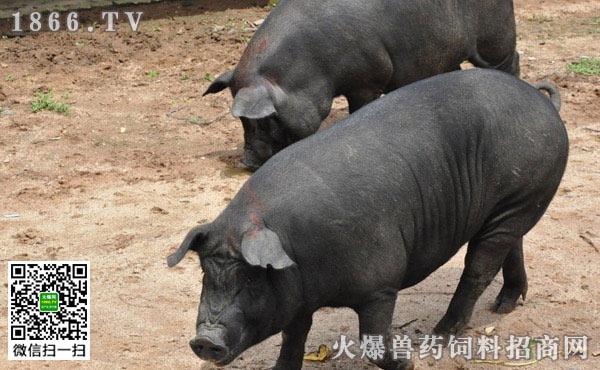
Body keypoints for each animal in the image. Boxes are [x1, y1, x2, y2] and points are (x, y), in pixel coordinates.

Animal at [169, 69, 568, 370]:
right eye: (205, 274)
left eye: (251, 278)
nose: (204, 339)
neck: (300, 252)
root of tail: (541, 99)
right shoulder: (298, 298)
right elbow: (293, 337)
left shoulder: (380, 285)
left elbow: (370, 340)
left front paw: (408, 362)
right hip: (514, 205)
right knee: (512, 246)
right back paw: (504, 306)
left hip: (519, 197)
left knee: (479, 268)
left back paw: (439, 336)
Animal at [203, 0, 520, 170]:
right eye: (241, 122)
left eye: (263, 120)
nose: (246, 163)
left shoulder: (367, 80)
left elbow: (359, 108)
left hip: (496, 35)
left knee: (510, 60)